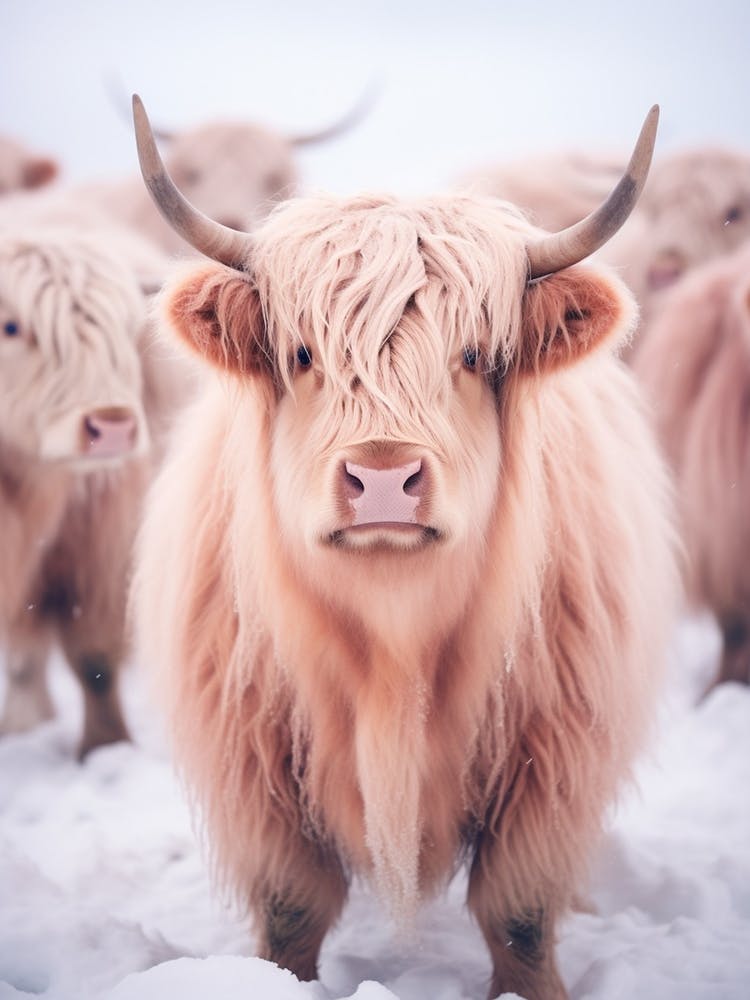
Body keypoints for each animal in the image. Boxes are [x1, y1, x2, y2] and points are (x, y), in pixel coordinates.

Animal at [0, 216, 188, 758]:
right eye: (11, 327)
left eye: (126, 329)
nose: (113, 427)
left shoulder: (104, 550)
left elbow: (94, 659)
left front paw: (105, 747)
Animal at [131, 97, 677, 1000]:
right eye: (304, 353)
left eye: (473, 354)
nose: (383, 479)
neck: (395, 642)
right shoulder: (254, 770)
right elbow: (292, 910)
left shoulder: (555, 758)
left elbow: (519, 915)